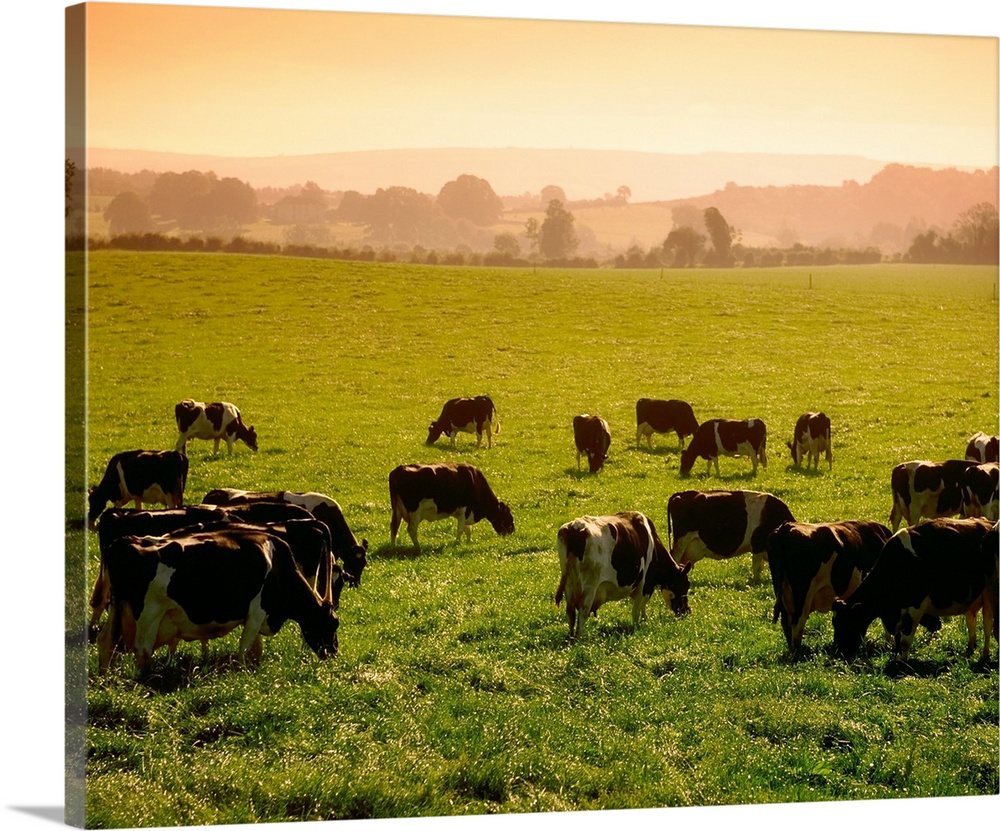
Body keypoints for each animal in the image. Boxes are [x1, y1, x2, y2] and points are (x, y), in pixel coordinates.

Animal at [96, 526, 339, 674]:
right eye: (333, 623)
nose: (333, 652)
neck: (277, 564)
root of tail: (124, 542)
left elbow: (256, 648)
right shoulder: (257, 611)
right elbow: (244, 648)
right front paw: (242, 672)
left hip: (117, 609)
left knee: (105, 642)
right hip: (149, 614)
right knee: (143, 651)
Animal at [554, 511, 692, 641]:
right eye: (685, 585)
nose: (687, 611)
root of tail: (575, 526)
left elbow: (642, 606)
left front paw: (644, 619)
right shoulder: (643, 584)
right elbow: (637, 609)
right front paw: (637, 627)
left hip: (569, 583)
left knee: (570, 611)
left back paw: (572, 636)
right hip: (590, 584)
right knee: (583, 609)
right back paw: (580, 638)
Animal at [766, 519, 892, 655]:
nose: (839, 651)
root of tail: (786, 526)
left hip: (782, 593)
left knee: (786, 623)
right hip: (802, 595)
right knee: (797, 624)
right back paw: (797, 654)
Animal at [832, 517, 996, 662]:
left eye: (846, 623)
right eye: (834, 623)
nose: (838, 652)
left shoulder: (915, 606)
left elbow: (905, 639)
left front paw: (903, 661)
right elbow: (898, 638)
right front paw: (897, 656)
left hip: (989, 595)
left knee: (987, 624)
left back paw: (985, 655)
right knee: (971, 621)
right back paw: (970, 648)